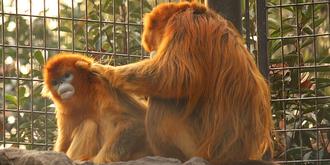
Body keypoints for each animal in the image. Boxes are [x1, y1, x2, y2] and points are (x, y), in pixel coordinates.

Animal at [77, 1, 274, 165]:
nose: (152, 52)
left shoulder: (183, 25)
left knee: (163, 103)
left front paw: (104, 71)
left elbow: (176, 75)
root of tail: (236, 155)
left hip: (200, 147)